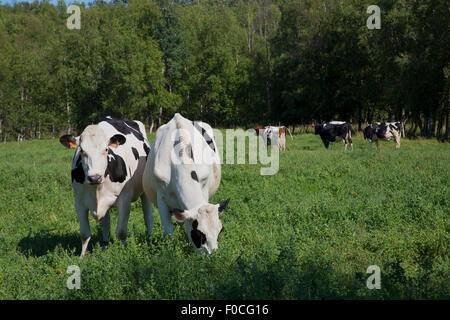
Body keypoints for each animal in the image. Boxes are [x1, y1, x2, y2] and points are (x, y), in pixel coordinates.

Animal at [59, 117, 153, 258]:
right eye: (82, 150)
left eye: (106, 149)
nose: (94, 177)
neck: (96, 188)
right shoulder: (79, 202)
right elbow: (84, 234)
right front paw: (82, 257)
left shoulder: (125, 200)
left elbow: (121, 232)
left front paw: (124, 252)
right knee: (106, 224)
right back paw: (104, 246)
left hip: (145, 191)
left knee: (148, 216)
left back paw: (149, 238)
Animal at [143, 112, 230, 255]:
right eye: (199, 234)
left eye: (220, 230)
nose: (215, 256)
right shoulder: (161, 199)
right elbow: (168, 232)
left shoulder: (204, 189)